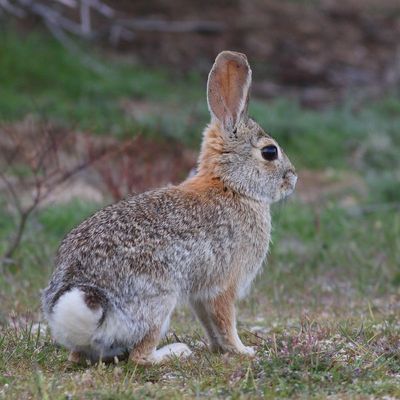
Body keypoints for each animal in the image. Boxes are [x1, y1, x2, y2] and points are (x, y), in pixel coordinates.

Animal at [41, 50, 296, 366]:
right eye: (270, 152)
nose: (293, 178)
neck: (231, 185)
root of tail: (90, 308)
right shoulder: (223, 284)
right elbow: (225, 320)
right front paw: (242, 350)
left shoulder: (200, 294)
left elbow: (209, 322)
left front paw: (218, 349)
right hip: (159, 302)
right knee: (139, 356)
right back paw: (176, 352)